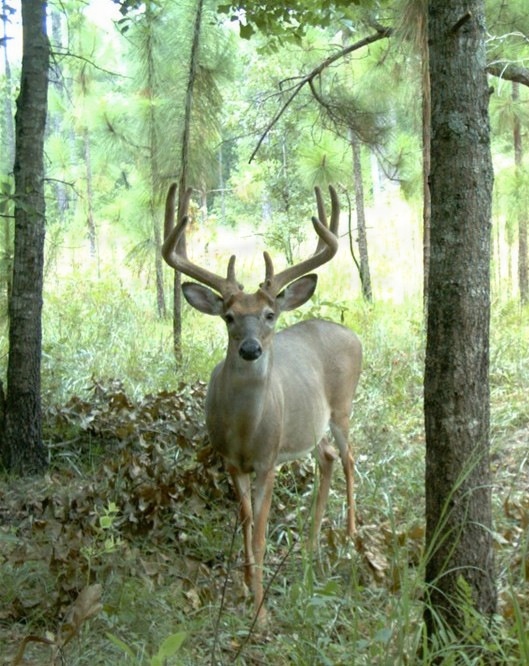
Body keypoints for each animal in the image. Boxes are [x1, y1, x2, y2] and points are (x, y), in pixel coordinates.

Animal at [162, 183, 362, 623]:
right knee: (326, 457)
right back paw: (310, 546)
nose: (251, 349)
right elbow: (245, 525)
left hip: (342, 406)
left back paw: (352, 535)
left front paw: (260, 612)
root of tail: (351, 334)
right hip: (310, 425)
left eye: (270, 314)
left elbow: (260, 533)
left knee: (349, 457)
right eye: (229, 317)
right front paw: (244, 588)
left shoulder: (268, 460)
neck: (245, 431)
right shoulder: (230, 461)